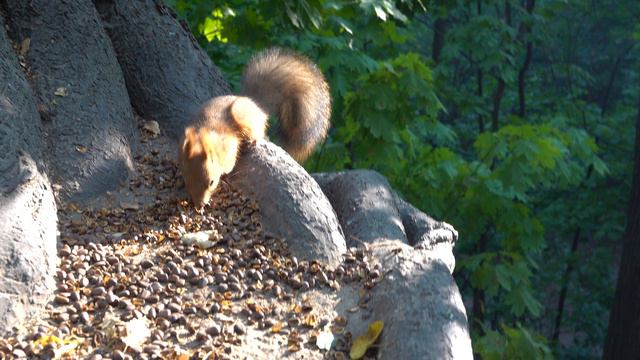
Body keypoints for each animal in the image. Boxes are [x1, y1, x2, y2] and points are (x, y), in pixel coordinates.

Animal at [179, 46, 330, 207]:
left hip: (242, 115)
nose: (200, 205)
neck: (202, 138)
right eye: (186, 181)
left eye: (211, 182)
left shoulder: (228, 147)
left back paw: (252, 140)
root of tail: (252, 102)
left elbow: (229, 164)